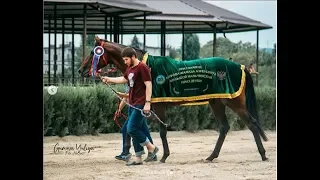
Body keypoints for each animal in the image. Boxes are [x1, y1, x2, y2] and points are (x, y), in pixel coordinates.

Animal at [79, 35, 268, 163]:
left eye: (93, 52)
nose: (81, 70)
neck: (145, 66)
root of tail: (241, 67)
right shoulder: (148, 109)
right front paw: (151, 154)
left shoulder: (159, 106)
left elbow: (162, 131)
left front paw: (163, 156)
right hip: (217, 103)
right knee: (224, 127)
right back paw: (211, 156)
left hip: (234, 102)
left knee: (251, 124)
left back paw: (263, 154)